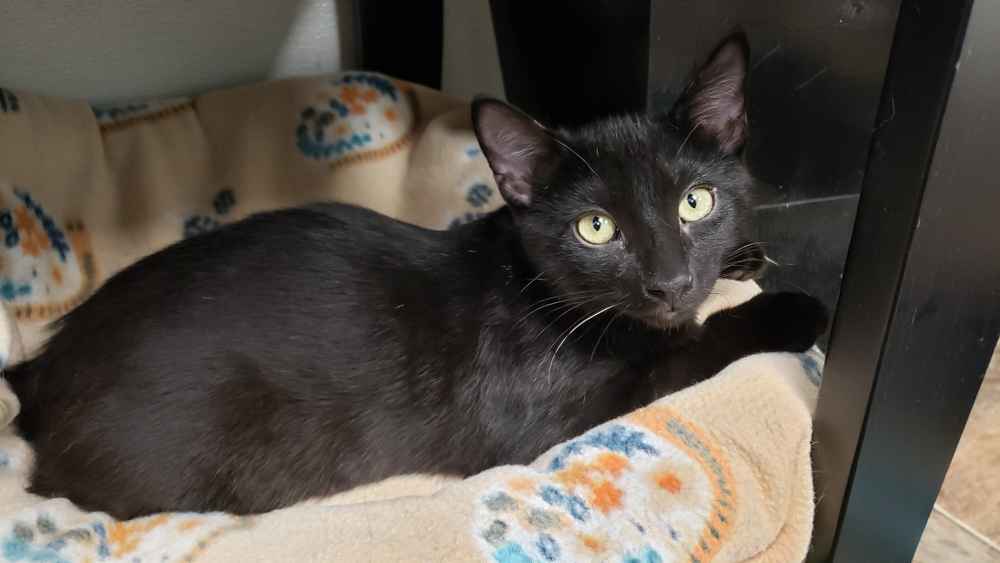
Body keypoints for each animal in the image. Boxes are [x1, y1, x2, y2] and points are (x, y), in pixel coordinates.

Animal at [3, 34, 824, 520]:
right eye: (597, 228)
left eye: (697, 202)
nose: (670, 282)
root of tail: (44, 369)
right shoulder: (547, 423)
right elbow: (689, 352)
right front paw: (793, 311)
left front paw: (743, 258)